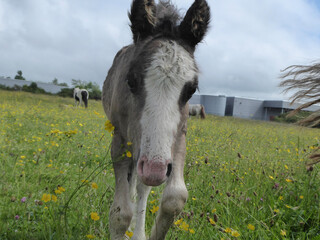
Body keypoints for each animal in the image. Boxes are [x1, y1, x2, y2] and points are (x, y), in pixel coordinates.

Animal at [102, 0, 210, 239]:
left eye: (191, 89)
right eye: (130, 81)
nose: (155, 169)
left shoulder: (179, 135)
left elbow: (175, 198)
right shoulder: (119, 139)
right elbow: (120, 213)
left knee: (141, 186)